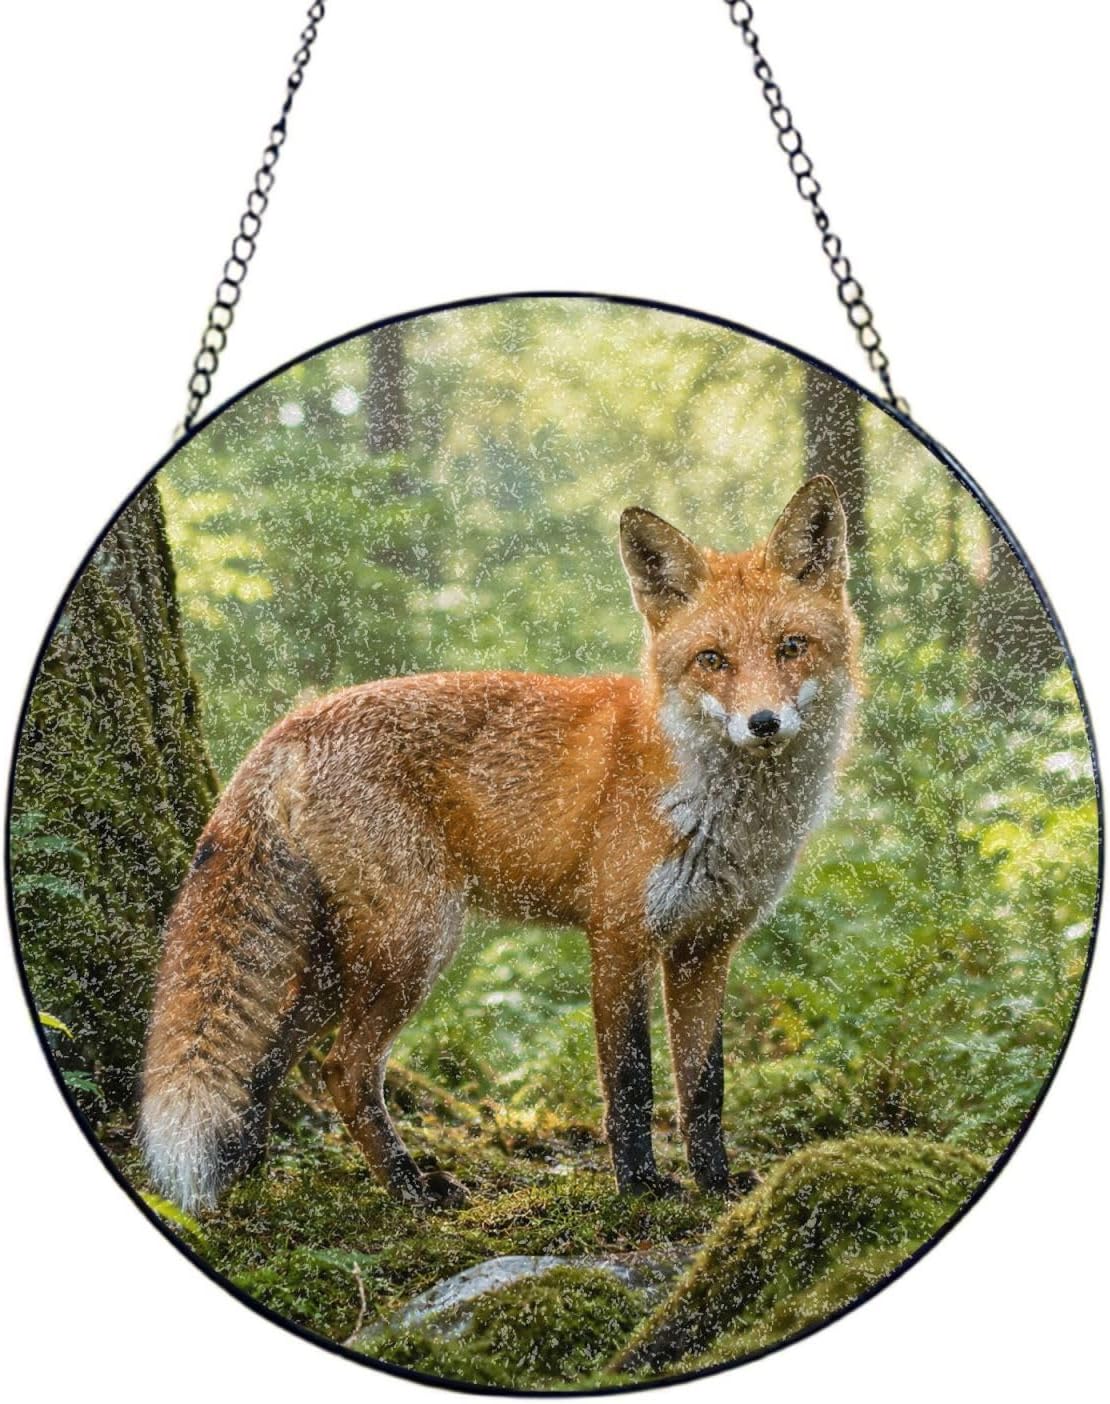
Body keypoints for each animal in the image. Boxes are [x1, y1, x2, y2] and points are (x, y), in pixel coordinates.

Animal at [139, 475, 860, 1212]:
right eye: (712, 659)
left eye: (792, 646)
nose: (763, 722)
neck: (719, 810)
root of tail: (295, 720)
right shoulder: (620, 935)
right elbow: (630, 1080)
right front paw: (640, 1188)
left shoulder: (706, 947)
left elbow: (705, 1086)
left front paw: (716, 1185)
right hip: (415, 941)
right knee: (344, 1068)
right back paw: (411, 1191)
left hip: (333, 962)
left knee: (267, 1061)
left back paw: (246, 1179)